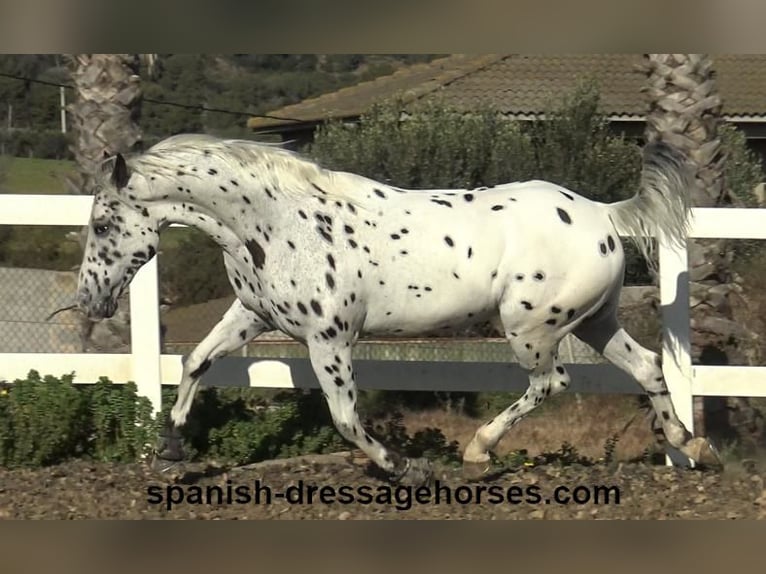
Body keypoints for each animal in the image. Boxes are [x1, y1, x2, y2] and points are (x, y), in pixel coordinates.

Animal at [78, 134, 728, 486]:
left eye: (103, 224)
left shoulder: (329, 338)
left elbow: (345, 417)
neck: (274, 223)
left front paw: (408, 467)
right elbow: (195, 361)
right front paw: (171, 447)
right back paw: (695, 448)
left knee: (552, 383)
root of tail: (602, 214)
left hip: (532, 327)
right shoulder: (254, 315)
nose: (89, 300)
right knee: (648, 367)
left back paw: (476, 452)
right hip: (595, 321)